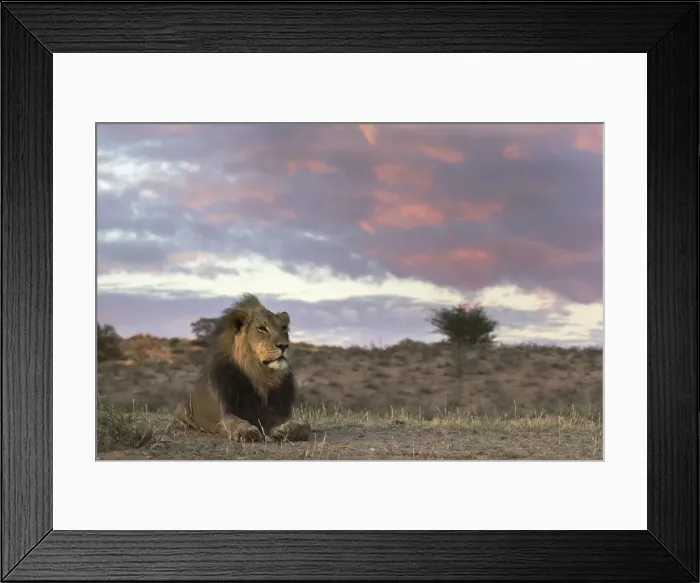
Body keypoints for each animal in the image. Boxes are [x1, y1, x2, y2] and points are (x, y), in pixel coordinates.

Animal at [173, 293, 311, 443]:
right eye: (262, 328)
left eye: (283, 328)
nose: (284, 346)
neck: (260, 375)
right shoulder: (227, 412)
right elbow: (236, 422)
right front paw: (247, 432)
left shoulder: (277, 412)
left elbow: (305, 425)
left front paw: (285, 430)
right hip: (181, 408)